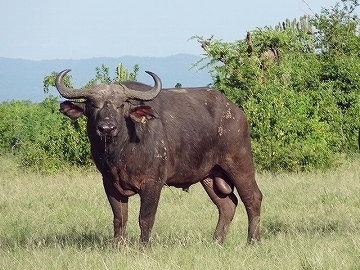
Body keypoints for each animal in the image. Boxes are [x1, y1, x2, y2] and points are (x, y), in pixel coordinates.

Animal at [54, 69, 262, 245]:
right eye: (93, 105)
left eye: (121, 105)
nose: (106, 128)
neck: (120, 152)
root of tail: (237, 112)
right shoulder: (110, 183)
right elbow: (120, 219)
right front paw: (118, 246)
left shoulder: (153, 183)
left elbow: (145, 218)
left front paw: (143, 246)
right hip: (210, 176)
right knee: (227, 204)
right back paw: (216, 241)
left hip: (239, 163)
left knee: (253, 198)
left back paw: (252, 240)